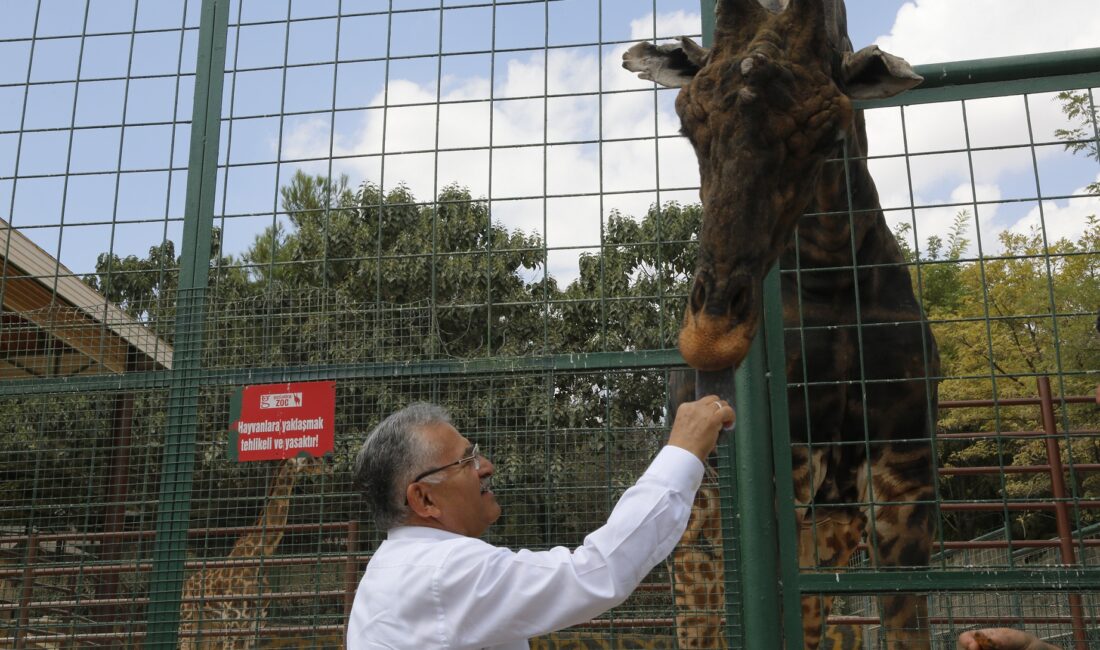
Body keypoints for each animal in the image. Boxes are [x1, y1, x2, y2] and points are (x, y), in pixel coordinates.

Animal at [178, 457, 325, 650]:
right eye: (311, 458)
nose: (324, 467)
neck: (259, 559)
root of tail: (185, 586)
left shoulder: (256, 624)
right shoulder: (233, 622)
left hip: (208, 627)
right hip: (188, 620)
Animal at [633, 2, 941, 646]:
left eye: (828, 128)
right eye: (688, 122)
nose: (711, 334)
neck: (833, 272)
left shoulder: (905, 463)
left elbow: (903, 623)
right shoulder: (788, 460)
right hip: (700, 527)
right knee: (700, 623)